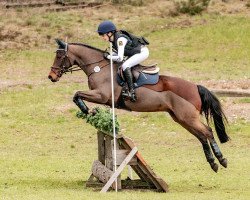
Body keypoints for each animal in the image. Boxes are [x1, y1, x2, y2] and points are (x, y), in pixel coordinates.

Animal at [47, 39, 229, 173]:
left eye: (59, 57)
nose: (51, 76)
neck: (99, 68)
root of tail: (195, 86)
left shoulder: (102, 95)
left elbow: (77, 93)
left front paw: (86, 110)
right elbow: (76, 94)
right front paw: (88, 111)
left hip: (187, 117)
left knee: (207, 131)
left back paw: (221, 160)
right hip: (180, 118)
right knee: (201, 136)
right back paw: (213, 163)